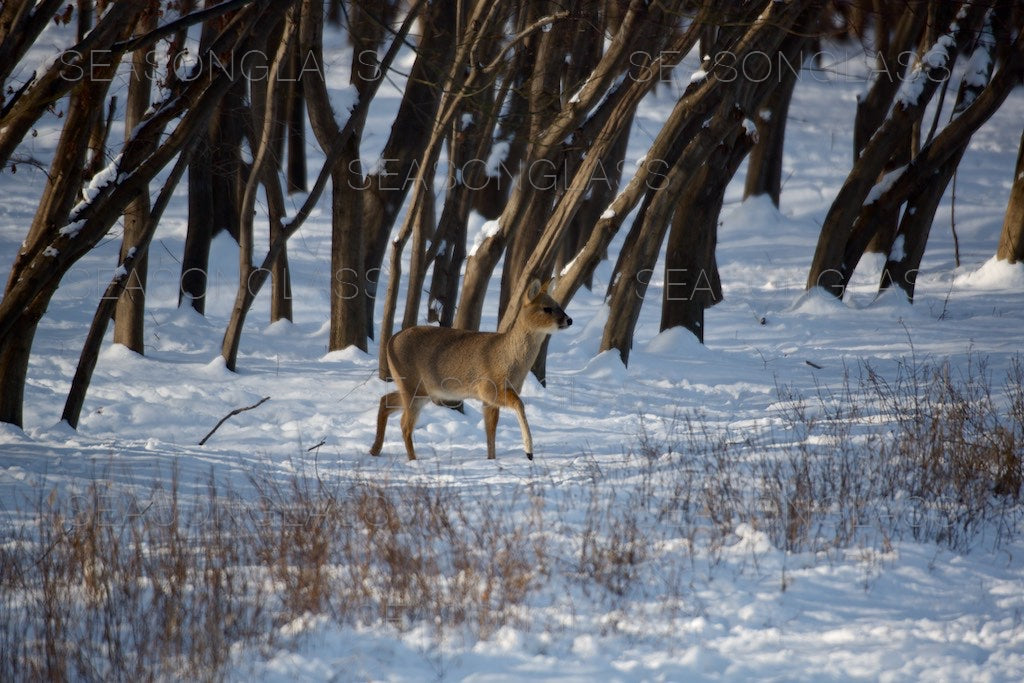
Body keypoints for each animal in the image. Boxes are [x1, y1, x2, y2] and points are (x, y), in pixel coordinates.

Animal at [372, 280, 573, 462]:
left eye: (558, 305)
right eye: (547, 308)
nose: (569, 320)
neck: (508, 359)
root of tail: (390, 341)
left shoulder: (489, 400)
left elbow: (490, 431)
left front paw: (492, 459)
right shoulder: (490, 388)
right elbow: (519, 404)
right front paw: (529, 452)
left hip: (419, 389)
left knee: (385, 401)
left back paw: (375, 449)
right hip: (413, 386)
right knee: (404, 424)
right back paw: (413, 460)